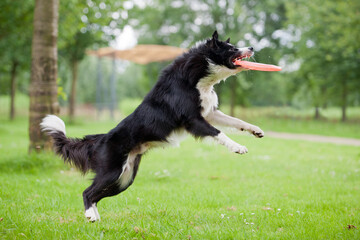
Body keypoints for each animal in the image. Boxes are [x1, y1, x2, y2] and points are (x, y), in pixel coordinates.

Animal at [40, 31, 264, 221]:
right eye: (232, 48)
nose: (252, 47)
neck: (199, 76)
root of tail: (101, 139)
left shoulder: (210, 113)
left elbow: (236, 122)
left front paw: (256, 130)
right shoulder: (193, 120)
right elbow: (219, 134)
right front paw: (238, 147)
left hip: (125, 178)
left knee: (95, 195)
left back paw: (94, 216)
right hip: (112, 171)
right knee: (87, 192)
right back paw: (90, 215)